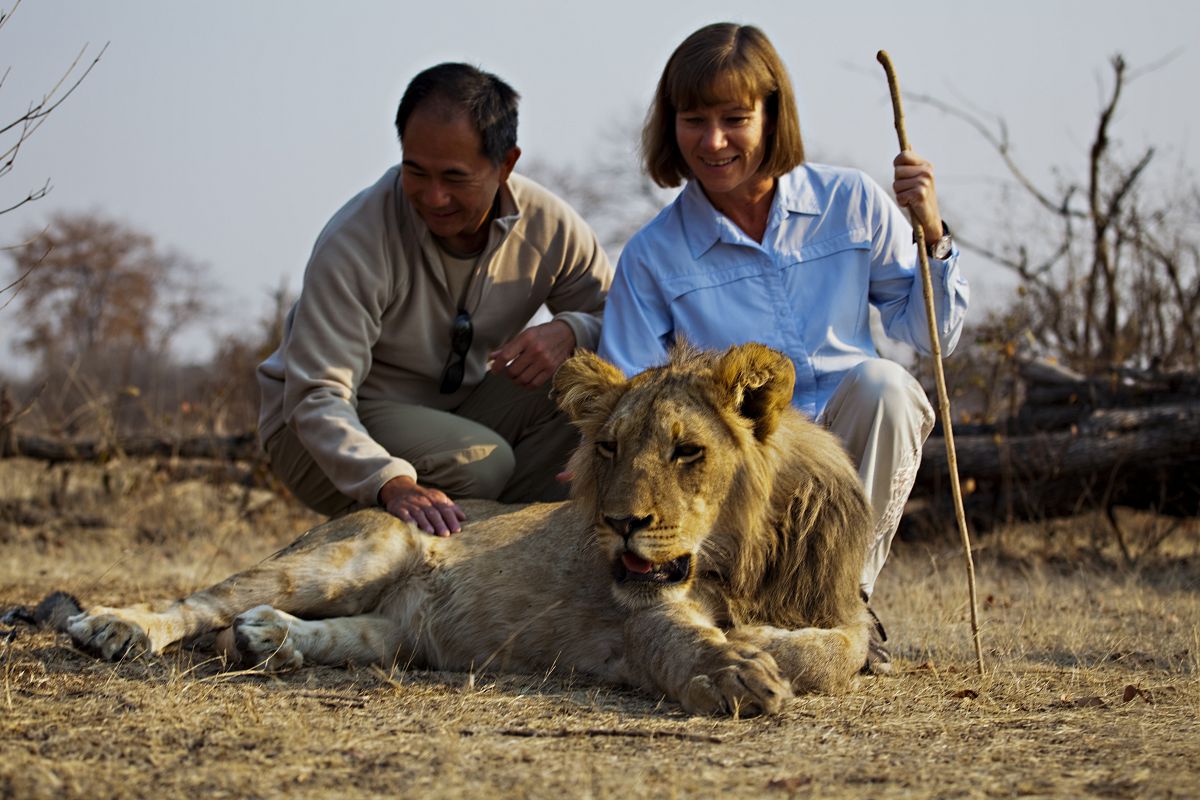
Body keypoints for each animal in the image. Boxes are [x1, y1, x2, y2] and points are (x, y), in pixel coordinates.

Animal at [56, 342, 873, 716]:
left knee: (341, 633)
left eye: (687, 451)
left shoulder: (841, 610)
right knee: (201, 600)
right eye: (608, 448)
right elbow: (687, 639)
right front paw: (737, 662)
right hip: (365, 546)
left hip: (399, 635)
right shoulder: (642, 615)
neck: (746, 556)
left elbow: (841, 653)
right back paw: (114, 628)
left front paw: (764, 640)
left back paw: (270, 639)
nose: (620, 525)